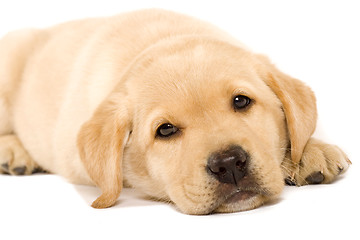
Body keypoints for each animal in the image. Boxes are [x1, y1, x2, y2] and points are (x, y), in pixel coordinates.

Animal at [0, 9, 348, 214]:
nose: (229, 164)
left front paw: (313, 151)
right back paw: (13, 151)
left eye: (241, 101)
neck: (166, 39)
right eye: (165, 130)